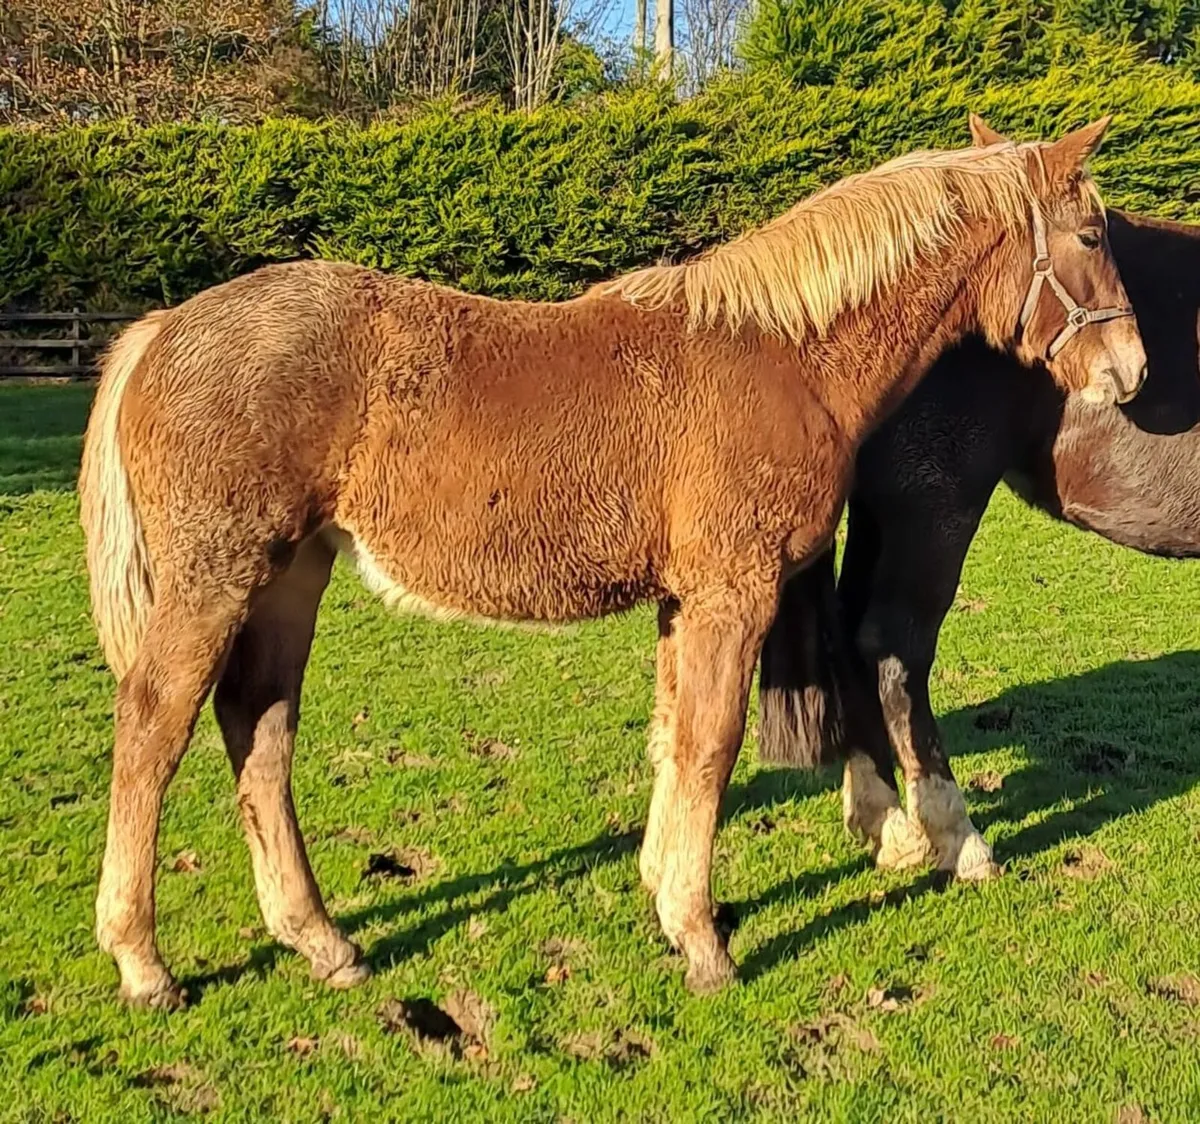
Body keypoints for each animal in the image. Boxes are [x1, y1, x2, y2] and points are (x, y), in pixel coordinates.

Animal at [80, 118, 1144, 1007]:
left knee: (260, 736)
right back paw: (143, 963)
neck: (786, 355)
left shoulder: (685, 601)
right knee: (152, 732)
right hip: (215, 580)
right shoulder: (730, 595)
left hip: (290, 578)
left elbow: (674, 739)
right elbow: (711, 748)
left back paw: (321, 941)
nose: (1130, 371)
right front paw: (704, 940)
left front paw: (664, 900)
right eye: (1093, 236)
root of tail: (163, 328)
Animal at [758, 119, 1200, 882]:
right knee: (894, 648)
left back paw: (885, 820)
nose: (1134, 368)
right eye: (1091, 237)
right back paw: (954, 833)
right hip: (934, 513)